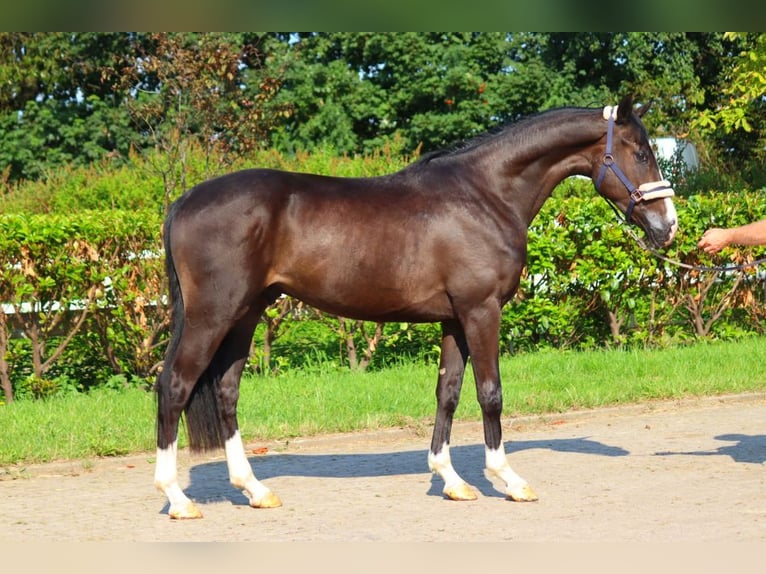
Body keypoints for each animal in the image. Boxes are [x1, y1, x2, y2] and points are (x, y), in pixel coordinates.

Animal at [154, 93, 680, 516]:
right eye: (641, 152)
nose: (668, 226)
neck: (485, 195)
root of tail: (183, 201)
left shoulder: (454, 319)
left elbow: (447, 392)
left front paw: (451, 481)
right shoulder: (481, 310)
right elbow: (490, 392)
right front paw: (508, 480)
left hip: (246, 314)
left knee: (225, 392)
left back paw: (254, 490)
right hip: (213, 316)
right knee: (174, 386)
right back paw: (177, 499)